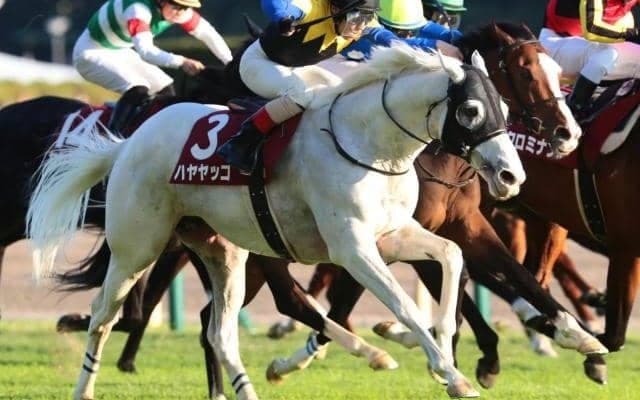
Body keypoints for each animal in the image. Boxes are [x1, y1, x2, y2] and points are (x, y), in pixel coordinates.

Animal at [52, 22, 592, 393]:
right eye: (472, 109)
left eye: (501, 105)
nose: (511, 174)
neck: (375, 144)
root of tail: (130, 141)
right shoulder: (353, 248)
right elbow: (400, 302)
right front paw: (446, 367)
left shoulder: (397, 234)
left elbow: (454, 262)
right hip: (137, 247)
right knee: (105, 315)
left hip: (224, 250)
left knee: (218, 328)